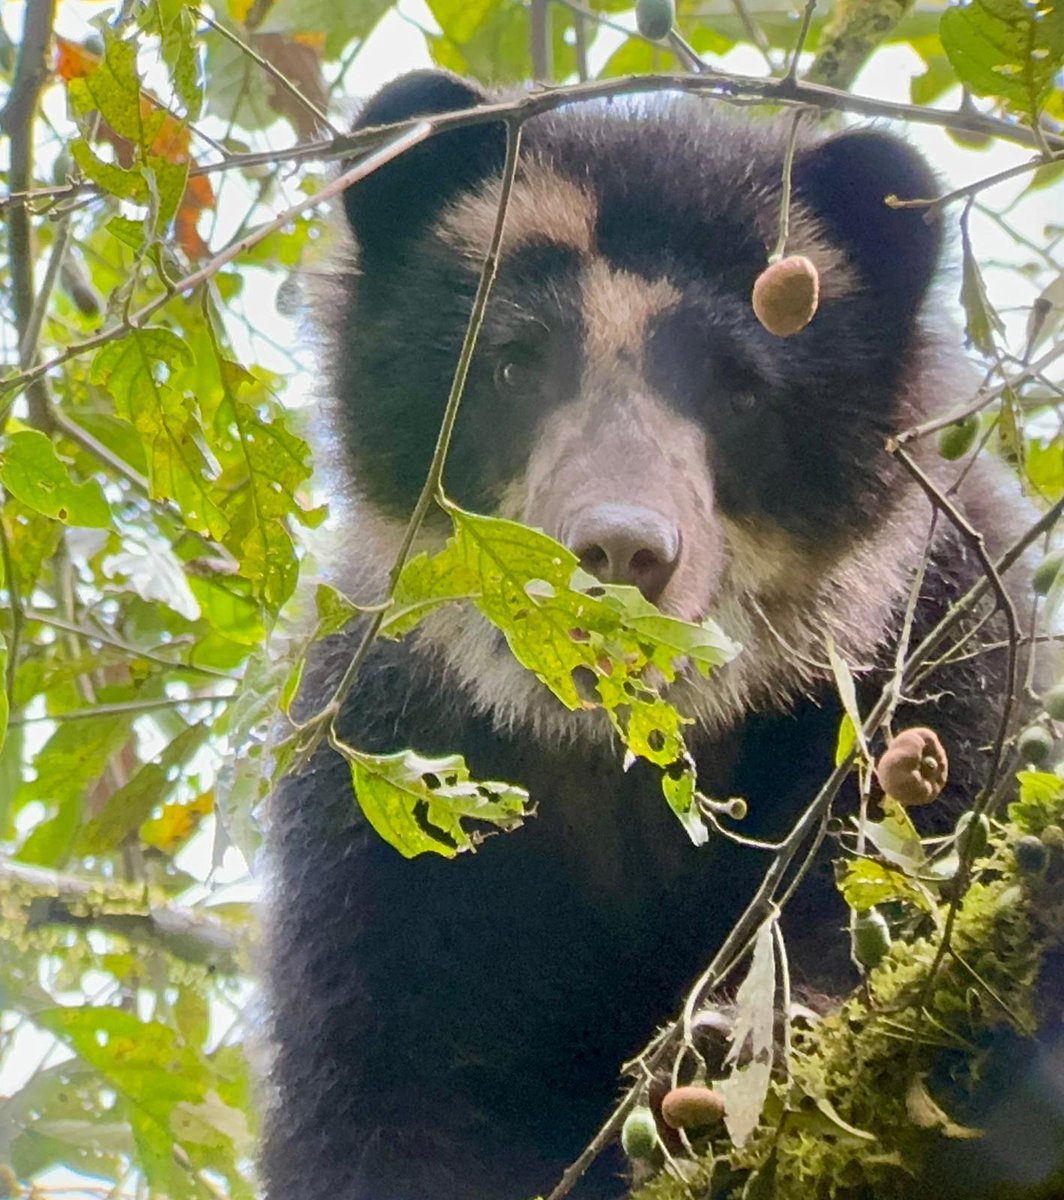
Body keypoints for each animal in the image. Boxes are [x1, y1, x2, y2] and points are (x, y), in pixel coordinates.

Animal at [261, 71, 1045, 1200]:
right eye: (511, 366)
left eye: (738, 387)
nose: (620, 549)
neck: (632, 748)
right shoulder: (379, 782)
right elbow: (380, 1091)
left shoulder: (952, 658)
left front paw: (733, 1047)